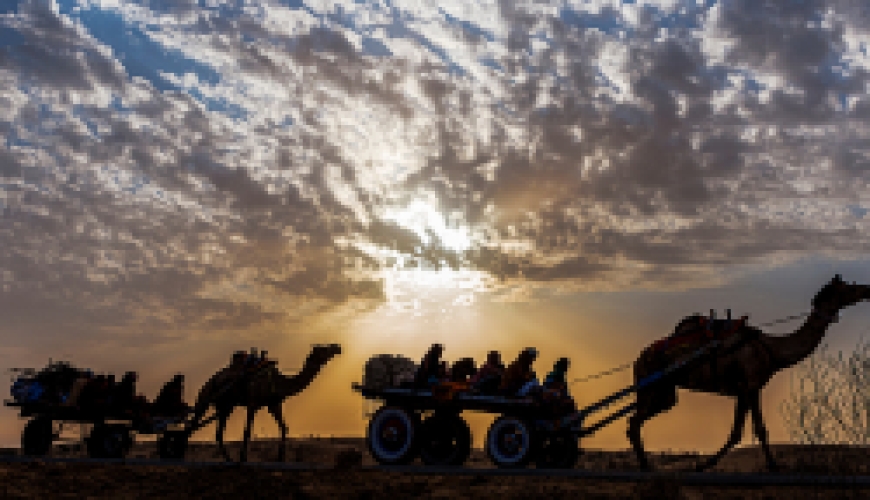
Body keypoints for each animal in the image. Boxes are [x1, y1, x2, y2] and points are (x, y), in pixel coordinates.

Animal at [185, 342, 340, 462]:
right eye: (324, 348)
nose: (337, 347)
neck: (280, 382)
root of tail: (211, 380)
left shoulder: (274, 403)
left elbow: (284, 427)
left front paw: (280, 458)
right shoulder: (253, 403)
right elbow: (247, 431)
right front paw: (243, 458)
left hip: (225, 405)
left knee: (216, 432)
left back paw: (228, 459)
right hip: (210, 398)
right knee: (193, 425)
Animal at [632, 274, 868, 472]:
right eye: (849, 287)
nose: (867, 289)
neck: (773, 350)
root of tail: (638, 359)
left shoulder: (747, 390)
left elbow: (744, 431)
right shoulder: (750, 385)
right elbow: (752, 430)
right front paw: (772, 466)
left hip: (665, 392)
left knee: (637, 418)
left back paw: (645, 465)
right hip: (652, 384)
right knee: (633, 421)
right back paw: (645, 467)